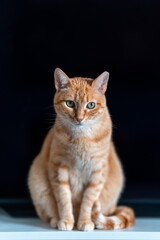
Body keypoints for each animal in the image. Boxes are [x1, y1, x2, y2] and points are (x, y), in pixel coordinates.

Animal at [27, 68, 135, 231]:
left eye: (90, 105)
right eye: (70, 103)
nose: (79, 118)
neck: (81, 139)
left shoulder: (97, 173)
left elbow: (88, 203)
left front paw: (84, 221)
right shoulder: (59, 169)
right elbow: (64, 200)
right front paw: (66, 220)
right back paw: (56, 220)